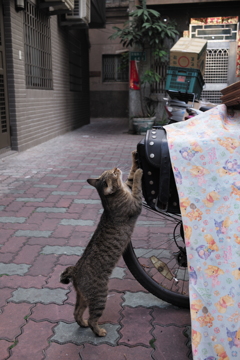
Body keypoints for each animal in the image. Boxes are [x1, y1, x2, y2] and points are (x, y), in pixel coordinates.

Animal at [60, 152, 142, 338]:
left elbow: (131, 176)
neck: (110, 199)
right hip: (100, 296)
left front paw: (135, 158)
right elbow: (137, 185)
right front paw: (140, 172)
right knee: (92, 319)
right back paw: (99, 331)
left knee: (76, 313)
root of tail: (75, 270)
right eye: (112, 173)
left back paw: (82, 323)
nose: (116, 167)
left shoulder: (128, 186)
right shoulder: (135, 204)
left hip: (83, 298)